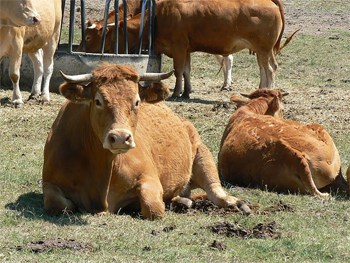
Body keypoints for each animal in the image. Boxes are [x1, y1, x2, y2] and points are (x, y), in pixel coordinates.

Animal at [42, 63, 250, 219]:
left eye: (136, 102)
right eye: (98, 100)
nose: (120, 138)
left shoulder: (149, 178)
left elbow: (153, 208)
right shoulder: (49, 183)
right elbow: (59, 204)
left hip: (202, 152)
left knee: (215, 191)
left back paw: (237, 203)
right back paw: (182, 201)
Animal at [117, 0, 298, 99]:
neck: (158, 16)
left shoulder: (178, 48)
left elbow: (178, 71)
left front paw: (176, 92)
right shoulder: (186, 50)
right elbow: (186, 71)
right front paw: (186, 92)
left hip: (264, 49)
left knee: (270, 69)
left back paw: (268, 91)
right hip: (262, 51)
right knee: (263, 68)